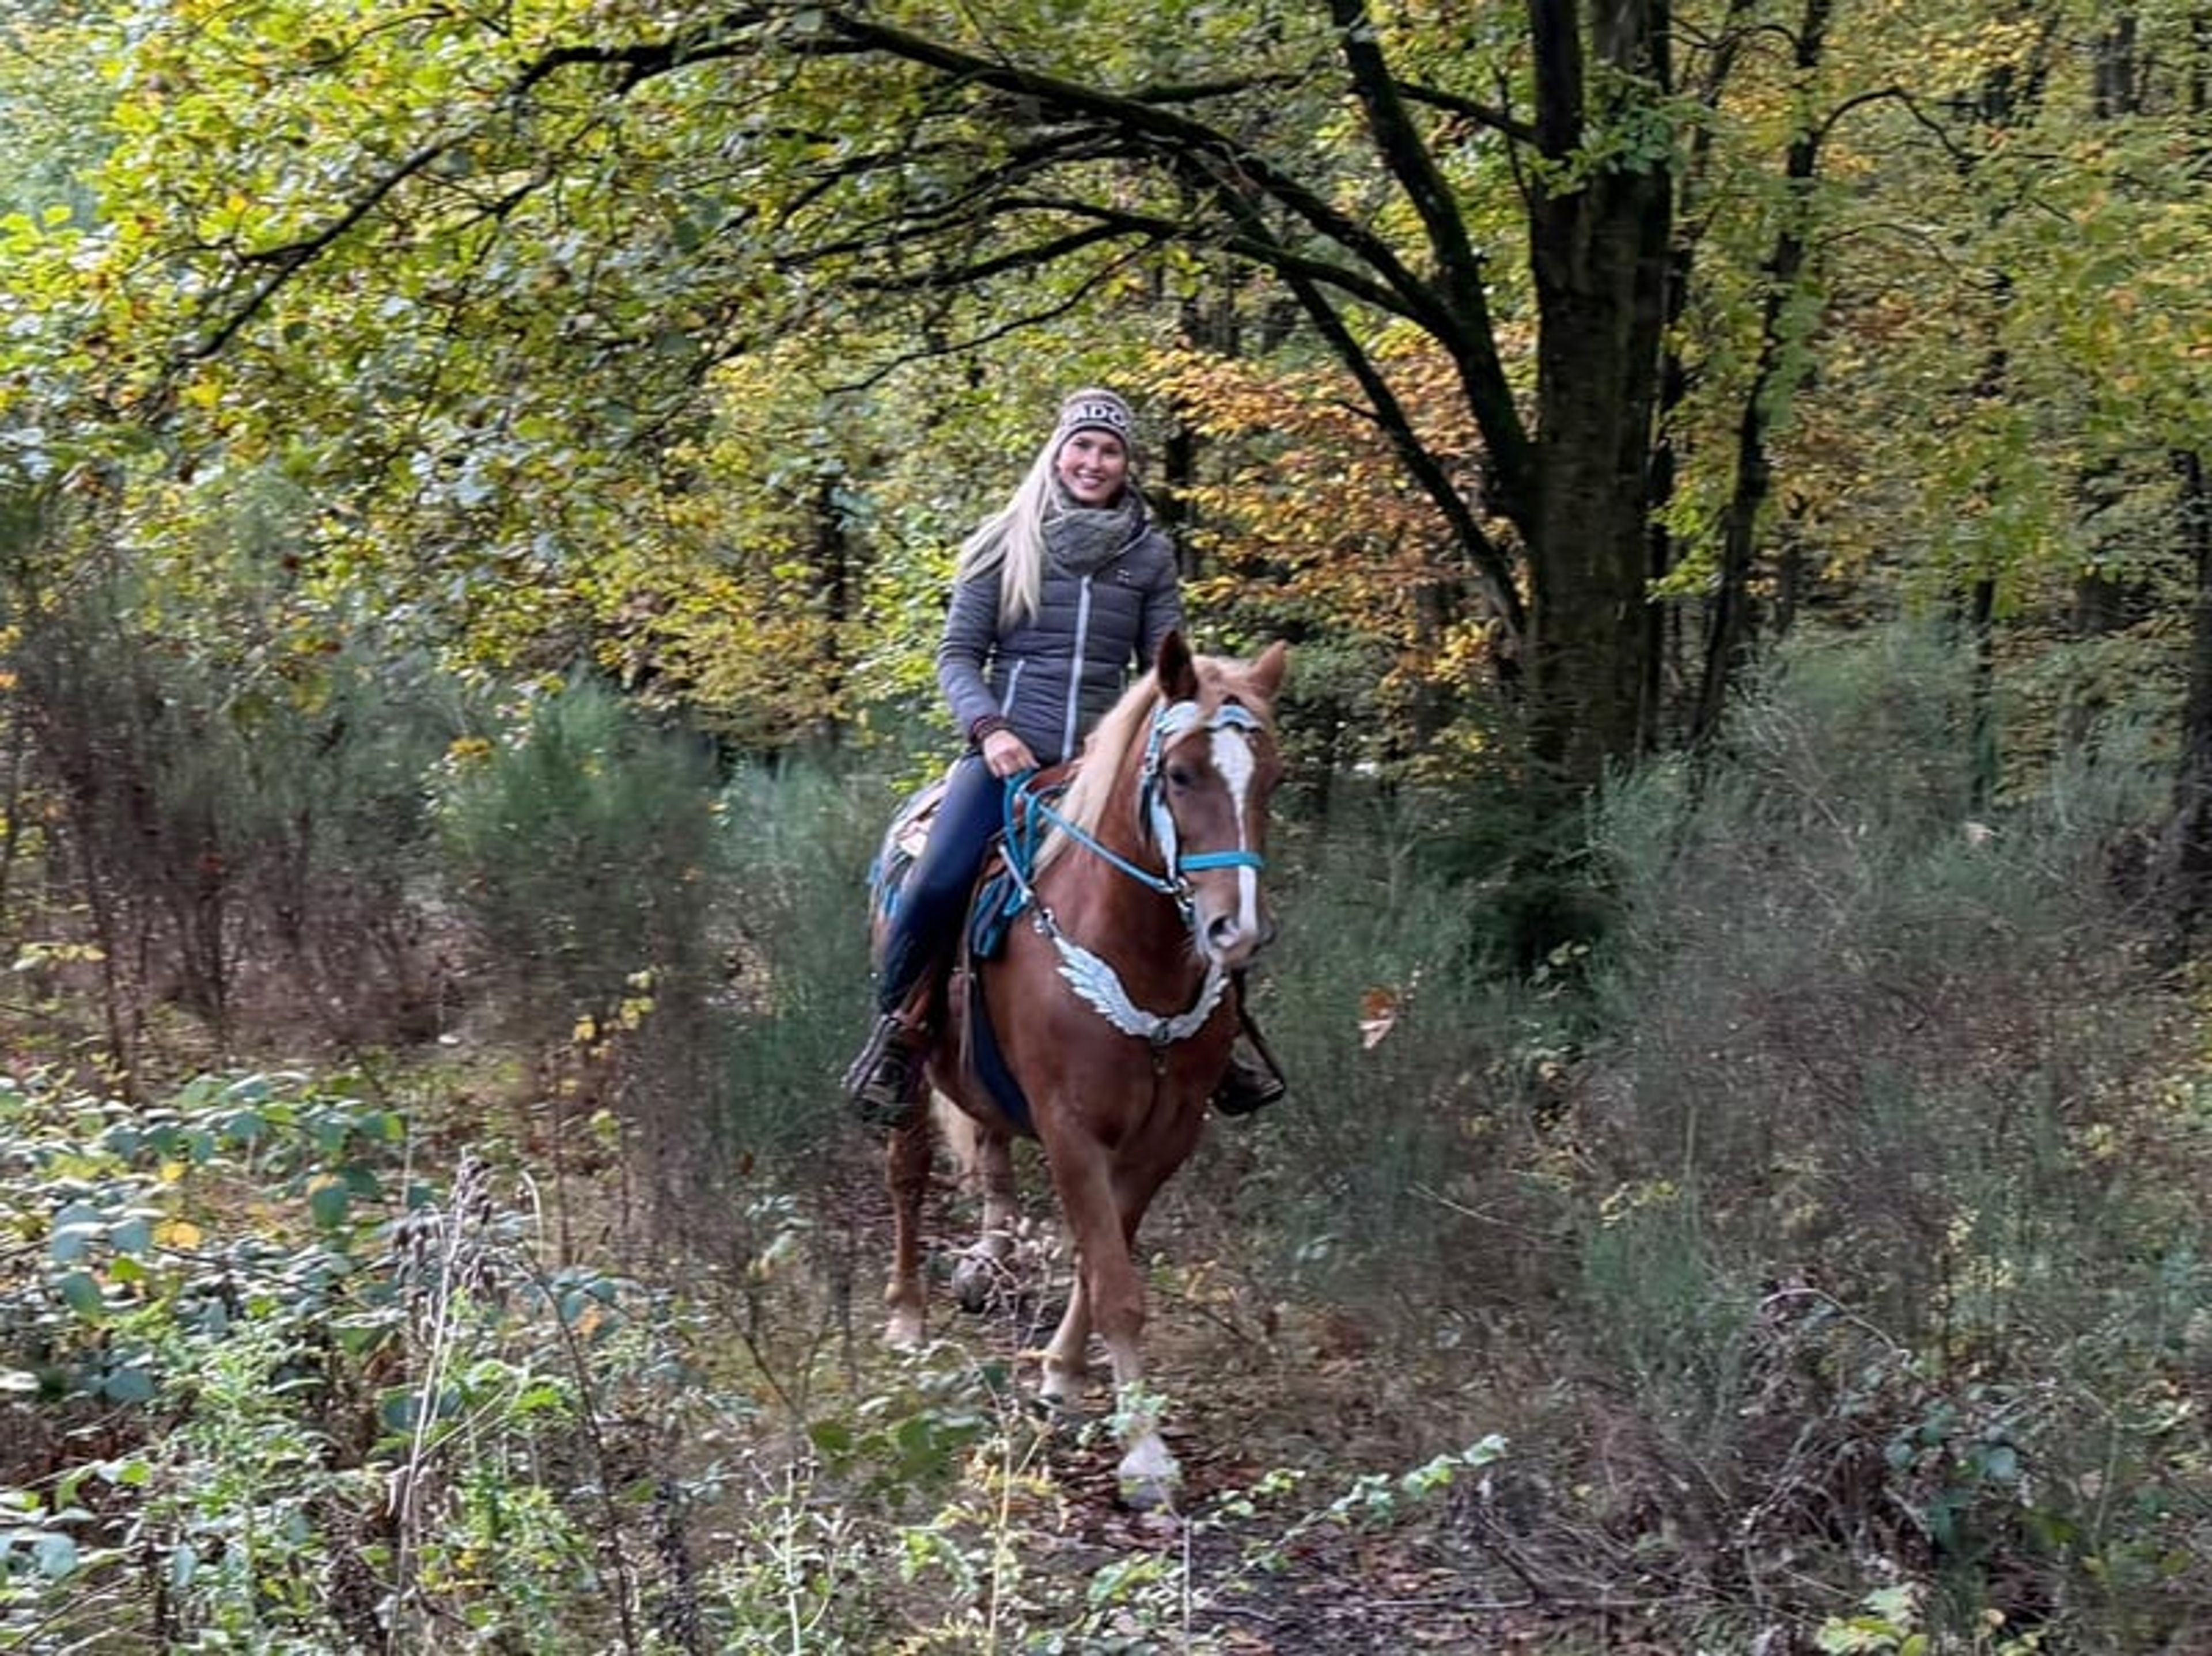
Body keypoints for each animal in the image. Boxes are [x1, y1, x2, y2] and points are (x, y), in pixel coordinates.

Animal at [869, 629, 1288, 1509]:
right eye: (1180, 774)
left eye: (1271, 778)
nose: (1235, 931)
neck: (1137, 953)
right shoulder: (1071, 1129)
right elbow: (1116, 1283)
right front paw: (1146, 1455)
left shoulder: (1168, 1134)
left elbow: (1102, 1264)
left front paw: (1062, 1380)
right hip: (915, 1076)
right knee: (908, 1175)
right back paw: (909, 1313)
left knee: (990, 1151)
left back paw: (988, 1259)